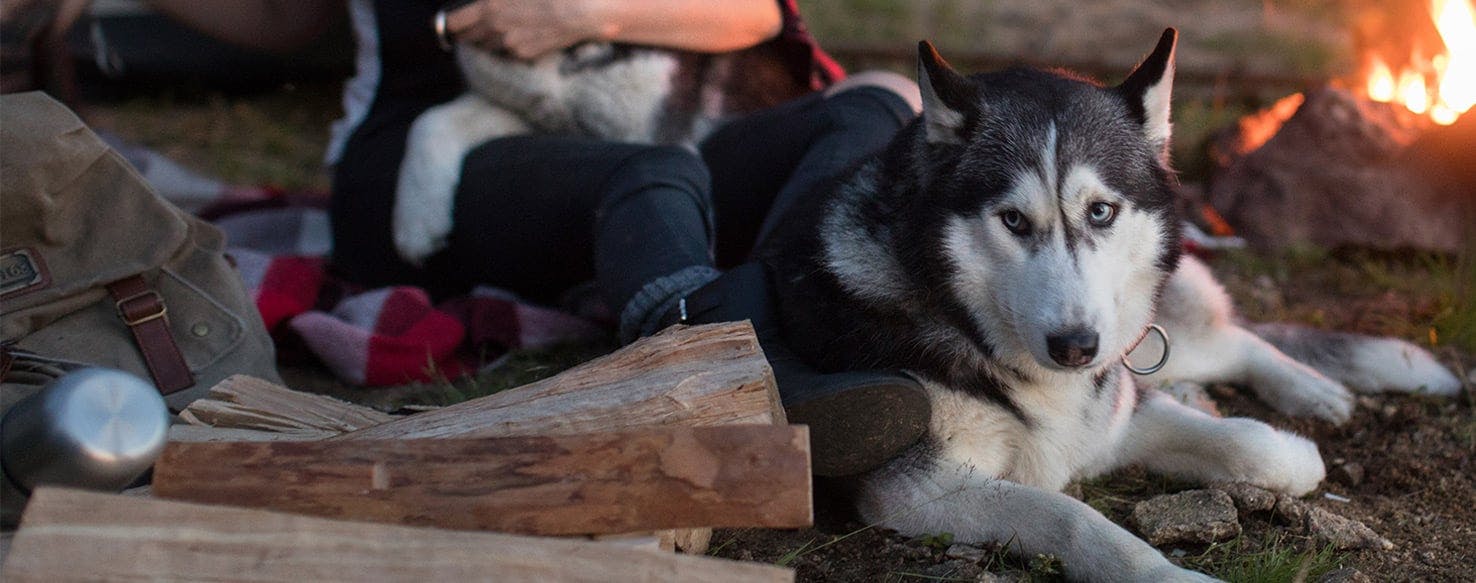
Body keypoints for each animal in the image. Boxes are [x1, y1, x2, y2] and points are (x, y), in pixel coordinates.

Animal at [761, 29, 1464, 581]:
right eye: (1013, 220)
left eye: (1100, 211)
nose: (1076, 347)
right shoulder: (924, 489)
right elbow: (1076, 520)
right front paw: (1170, 576)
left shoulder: (1111, 409)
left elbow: (1245, 443)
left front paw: (1293, 455)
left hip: (1153, 329)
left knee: (1233, 338)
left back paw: (1312, 390)